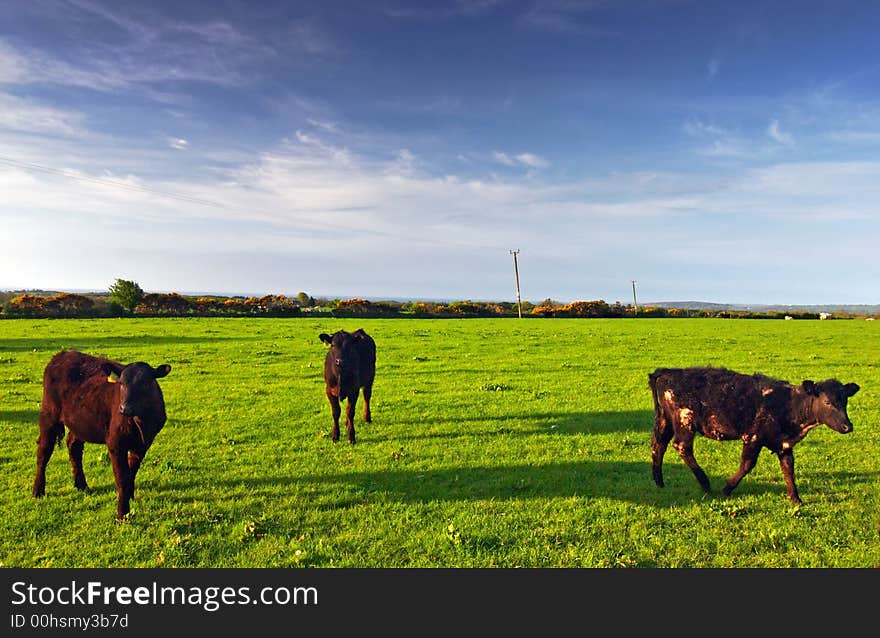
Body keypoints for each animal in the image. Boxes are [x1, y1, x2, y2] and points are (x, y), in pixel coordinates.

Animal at [32, 352, 172, 524]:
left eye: (145, 384)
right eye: (121, 383)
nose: (124, 408)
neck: (141, 421)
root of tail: (62, 354)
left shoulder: (142, 445)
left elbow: (132, 472)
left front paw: (130, 497)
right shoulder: (115, 443)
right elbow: (122, 477)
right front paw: (122, 514)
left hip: (80, 423)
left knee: (74, 447)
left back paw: (81, 484)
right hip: (48, 415)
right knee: (43, 453)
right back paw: (38, 491)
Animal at [648, 368, 860, 508]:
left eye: (845, 401)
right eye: (827, 402)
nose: (848, 426)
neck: (788, 403)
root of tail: (667, 372)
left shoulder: (784, 444)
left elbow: (788, 469)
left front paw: (795, 498)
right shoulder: (753, 437)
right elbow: (747, 465)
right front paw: (727, 489)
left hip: (666, 421)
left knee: (658, 445)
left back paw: (659, 482)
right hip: (684, 422)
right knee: (682, 447)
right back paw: (705, 483)